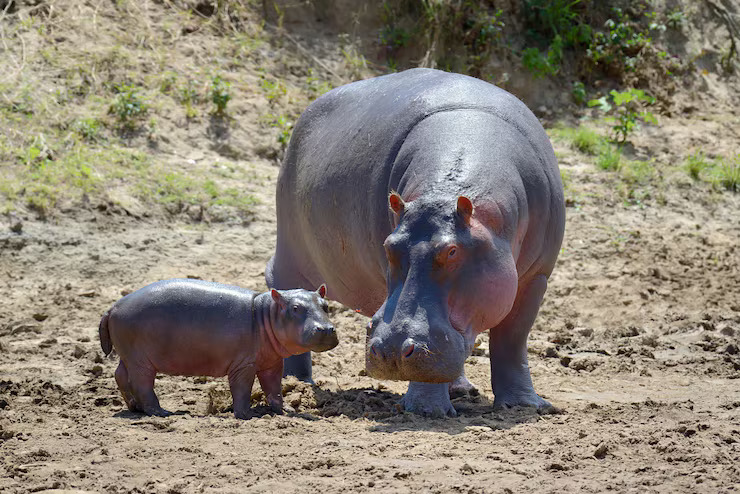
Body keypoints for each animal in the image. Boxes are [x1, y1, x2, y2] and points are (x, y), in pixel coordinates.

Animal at [98, 279, 337, 418]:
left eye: (326, 306)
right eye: (295, 308)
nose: (326, 329)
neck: (265, 313)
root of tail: (113, 307)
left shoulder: (272, 363)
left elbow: (274, 389)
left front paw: (285, 410)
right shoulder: (244, 365)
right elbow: (242, 389)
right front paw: (246, 415)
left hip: (128, 355)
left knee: (120, 375)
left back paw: (134, 408)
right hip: (141, 360)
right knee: (142, 384)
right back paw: (162, 412)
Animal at [266, 68, 564, 417]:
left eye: (452, 250)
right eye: (388, 246)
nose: (392, 350)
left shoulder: (536, 278)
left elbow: (512, 340)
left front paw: (525, 406)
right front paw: (426, 411)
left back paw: (461, 389)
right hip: (290, 254)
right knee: (287, 294)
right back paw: (297, 384)